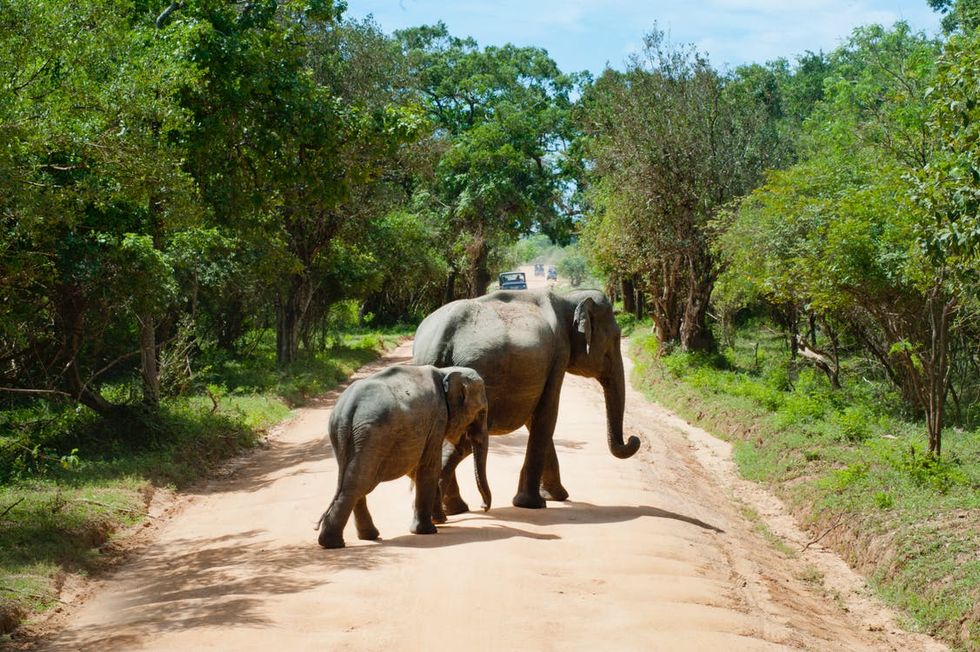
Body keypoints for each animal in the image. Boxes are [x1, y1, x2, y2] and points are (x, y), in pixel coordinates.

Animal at [316, 365, 491, 549]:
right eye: (481, 413)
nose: (483, 507)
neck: (445, 372)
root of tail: (348, 408)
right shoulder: (438, 418)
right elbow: (429, 466)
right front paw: (428, 530)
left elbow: (416, 467)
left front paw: (438, 520)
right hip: (373, 434)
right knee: (359, 483)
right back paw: (333, 543)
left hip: (345, 434)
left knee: (355, 480)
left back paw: (363, 537)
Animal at [412, 288, 641, 512]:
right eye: (616, 339)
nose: (634, 439)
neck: (568, 297)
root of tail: (436, 343)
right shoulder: (558, 354)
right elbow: (547, 414)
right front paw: (533, 503)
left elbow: (536, 419)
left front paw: (555, 496)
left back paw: (454, 509)